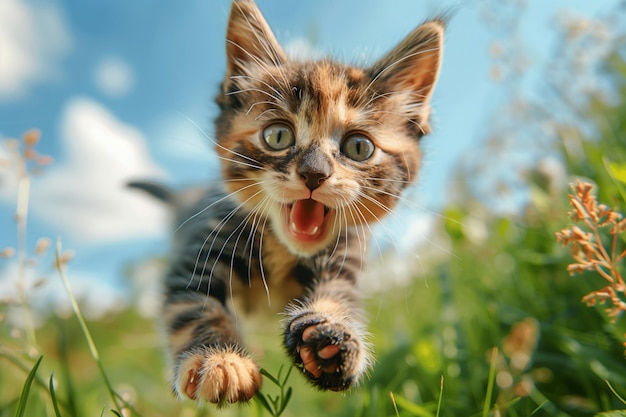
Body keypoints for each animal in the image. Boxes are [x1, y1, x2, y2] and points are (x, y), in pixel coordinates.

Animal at [131, 0, 442, 406]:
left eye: (359, 147)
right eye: (277, 136)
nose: (314, 173)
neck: (284, 247)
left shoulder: (344, 259)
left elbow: (339, 298)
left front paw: (331, 340)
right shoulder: (197, 253)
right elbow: (194, 306)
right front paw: (218, 359)